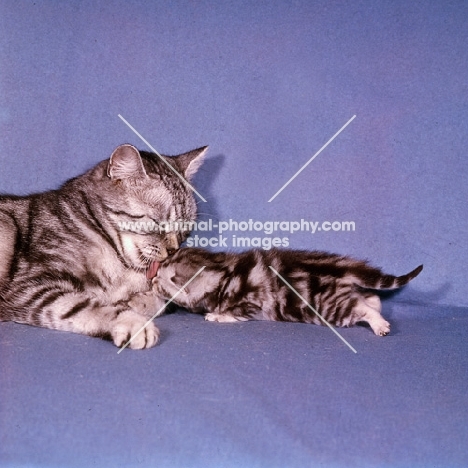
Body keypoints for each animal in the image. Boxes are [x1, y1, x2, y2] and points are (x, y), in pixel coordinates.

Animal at [0, 144, 207, 350]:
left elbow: (165, 300)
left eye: (186, 229)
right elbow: (80, 306)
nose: (173, 249)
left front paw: (138, 302)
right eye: (158, 223)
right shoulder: (30, 285)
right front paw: (133, 322)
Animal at [140, 247, 424, 334]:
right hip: (342, 294)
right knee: (370, 297)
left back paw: (380, 324)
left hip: (331, 307)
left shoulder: (251, 302)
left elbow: (235, 313)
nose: (151, 281)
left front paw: (218, 316)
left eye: (163, 280)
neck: (221, 269)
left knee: (361, 308)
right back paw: (376, 306)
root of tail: (342, 268)